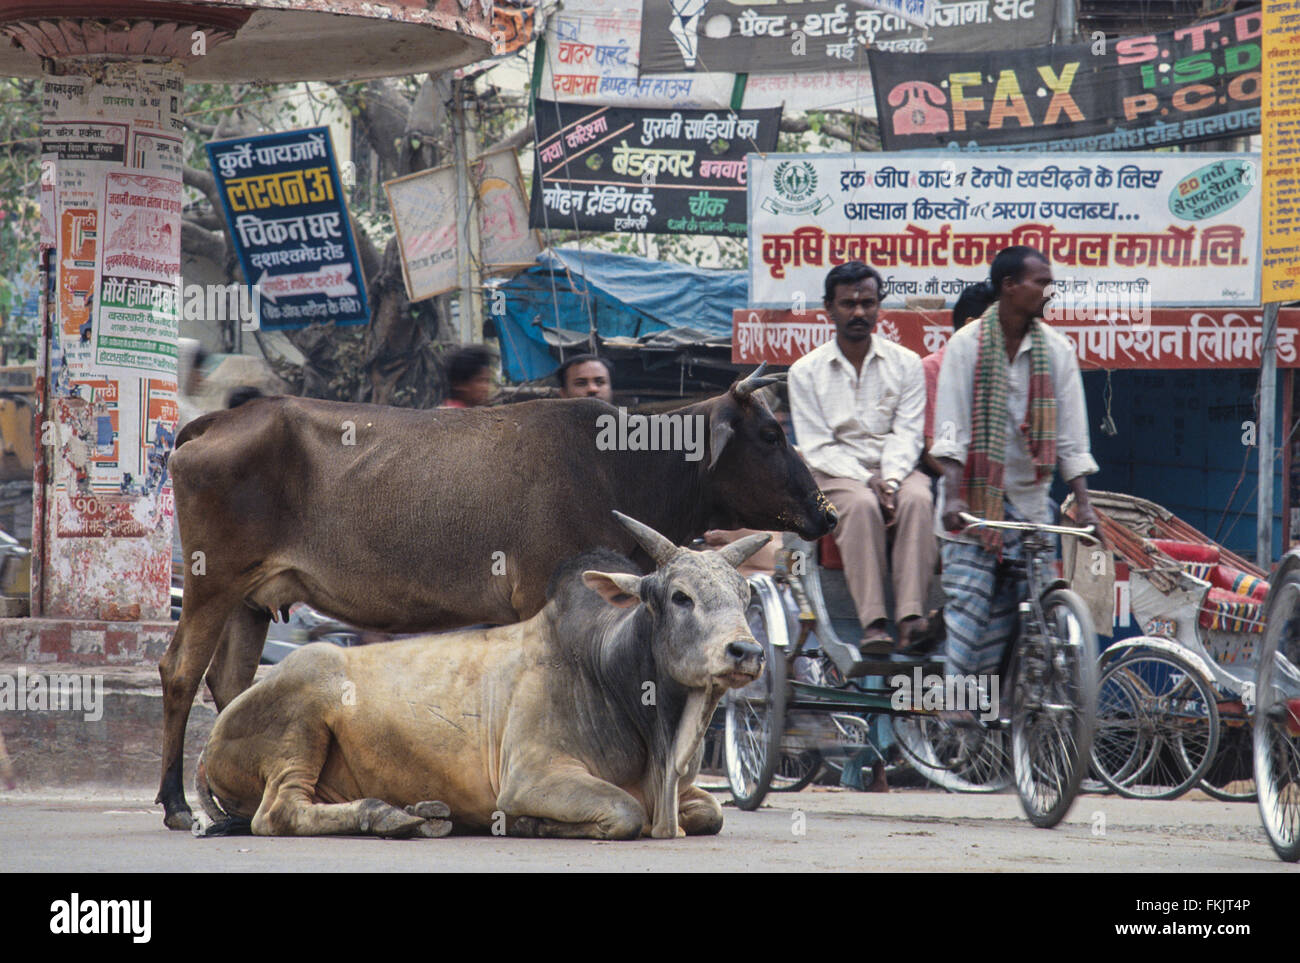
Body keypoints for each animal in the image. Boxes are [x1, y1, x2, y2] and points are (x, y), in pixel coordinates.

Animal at [192, 514, 769, 836]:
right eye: (680, 596)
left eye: (745, 595)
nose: (746, 651)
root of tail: (213, 735)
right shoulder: (533, 777)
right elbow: (625, 812)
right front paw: (529, 824)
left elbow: (712, 813)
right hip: (300, 721)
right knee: (278, 814)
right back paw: (387, 816)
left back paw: (415, 814)